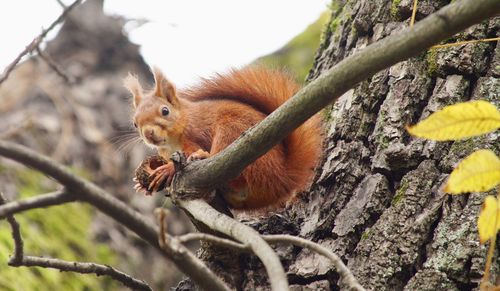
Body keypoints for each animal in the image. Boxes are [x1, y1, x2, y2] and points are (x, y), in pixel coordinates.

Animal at [123, 66, 322, 210]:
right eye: (134, 123)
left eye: (165, 111)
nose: (148, 133)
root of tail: (282, 179)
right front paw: (142, 183)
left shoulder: (194, 136)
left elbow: (188, 154)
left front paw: (167, 169)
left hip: (232, 132)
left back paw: (203, 157)